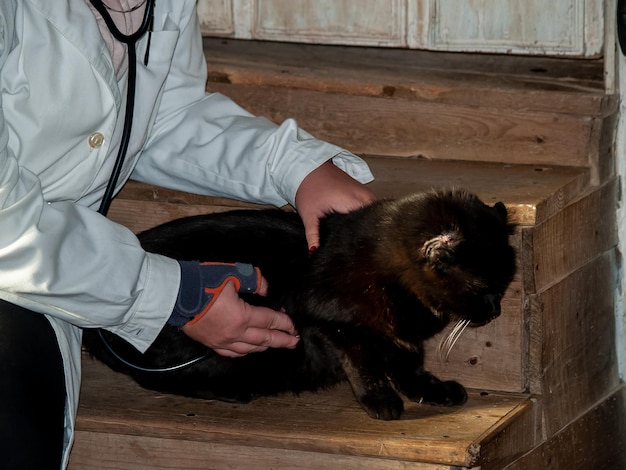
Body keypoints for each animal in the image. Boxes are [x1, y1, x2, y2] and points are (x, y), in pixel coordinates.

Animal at [81, 189, 512, 420]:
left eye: (505, 284)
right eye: (483, 288)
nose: (496, 311)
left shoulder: (399, 337)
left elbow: (409, 363)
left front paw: (431, 390)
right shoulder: (328, 323)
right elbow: (364, 363)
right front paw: (381, 399)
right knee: (156, 376)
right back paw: (233, 391)